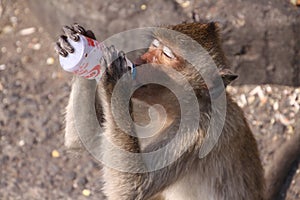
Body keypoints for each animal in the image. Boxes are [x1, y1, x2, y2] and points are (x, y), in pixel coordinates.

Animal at [55, 23, 298, 198]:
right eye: (154, 46)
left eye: (167, 55)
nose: (140, 61)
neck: (170, 110)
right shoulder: (141, 104)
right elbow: (88, 141)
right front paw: (79, 44)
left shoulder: (197, 132)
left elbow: (132, 188)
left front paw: (114, 79)